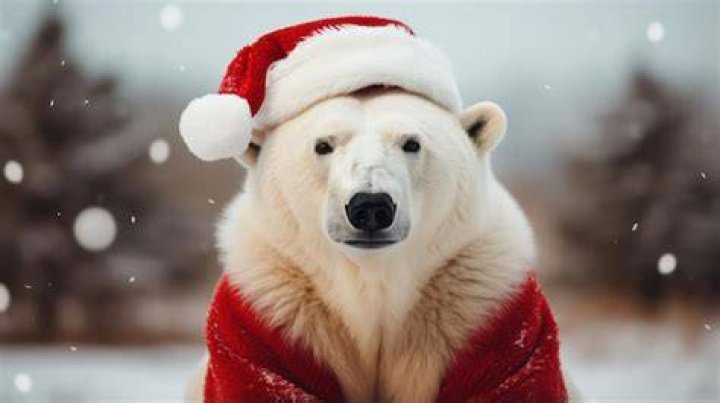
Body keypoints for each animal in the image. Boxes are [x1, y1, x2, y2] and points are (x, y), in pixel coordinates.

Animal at [180, 16, 568, 403]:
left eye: (412, 143)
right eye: (323, 145)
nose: (370, 206)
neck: (374, 283)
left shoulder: (488, 315)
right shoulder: (269, 318)